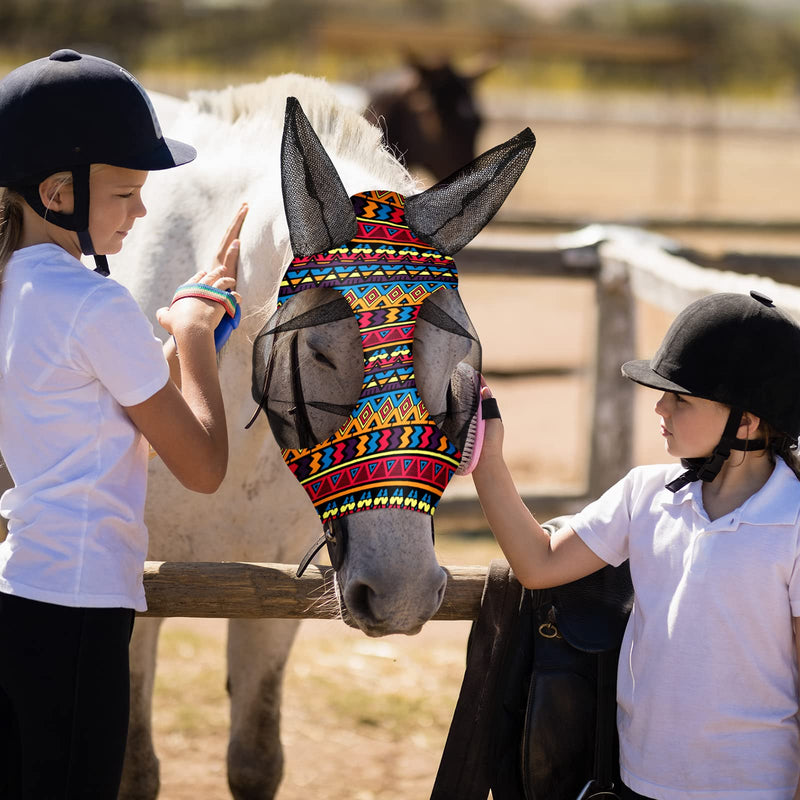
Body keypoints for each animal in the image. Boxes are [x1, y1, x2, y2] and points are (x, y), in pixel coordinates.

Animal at [109, 73, 533, 799]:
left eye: (464, 360)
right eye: (318, 353)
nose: (402, 594)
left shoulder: (274, 594)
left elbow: (255, 760)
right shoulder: (134, 595)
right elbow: (135, 769)